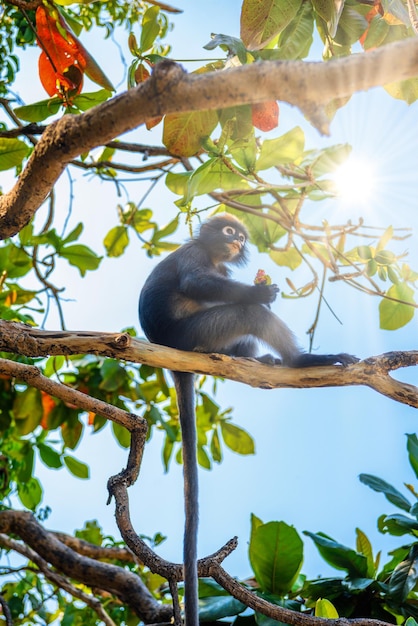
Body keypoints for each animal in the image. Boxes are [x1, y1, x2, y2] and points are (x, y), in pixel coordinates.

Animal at [139, 212, 358, 620]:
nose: (238, 241)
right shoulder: (194, 255)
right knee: (249, 315)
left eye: (240, 237)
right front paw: (259, 292)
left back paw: (261, 359)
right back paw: (299, 359)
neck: (214, 256)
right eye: (230, 232)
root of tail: (172, 354)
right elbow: (195, 282)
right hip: (197, 333)